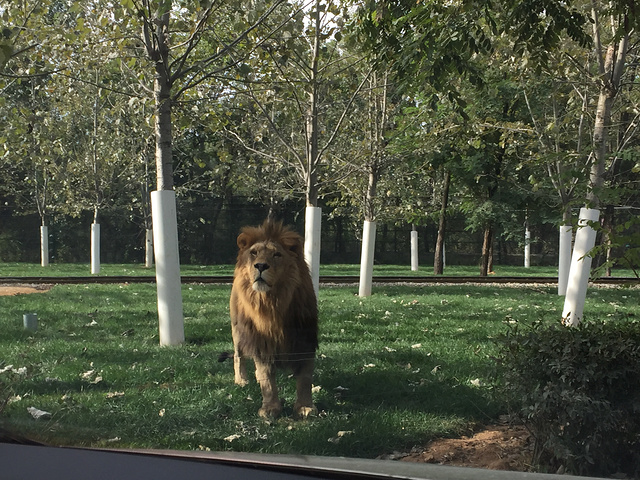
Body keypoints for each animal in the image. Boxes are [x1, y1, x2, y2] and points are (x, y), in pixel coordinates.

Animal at [230, 219, 320, 418]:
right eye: (254, 253)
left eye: (277, 254)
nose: (261, 266)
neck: (272, 304)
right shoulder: (261, 342)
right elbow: (267, 379)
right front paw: (270, 408)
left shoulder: (305, 339)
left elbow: (305, 378)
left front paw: (305, 407)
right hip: (238, 329)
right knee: (238, 355)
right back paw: (241, 380)